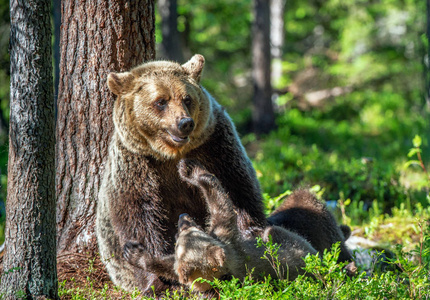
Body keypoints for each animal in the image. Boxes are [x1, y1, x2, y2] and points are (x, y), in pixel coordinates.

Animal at [95, 54, 268, 296]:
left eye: (187, 98)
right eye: (161, 101)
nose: (184, 123)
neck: (170, 154)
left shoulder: (215, 146)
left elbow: (237, 189)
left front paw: (250, 235)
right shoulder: (135, 164)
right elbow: (141, 217)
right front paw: (157, 280)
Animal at [122, 161, 318, 292]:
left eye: (182, 233)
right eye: (191, 229)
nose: (183, 217)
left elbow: (221, 204)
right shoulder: (224, 235)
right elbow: (221, 204)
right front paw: (134, 252)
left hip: (291, 242)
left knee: (272, 232)